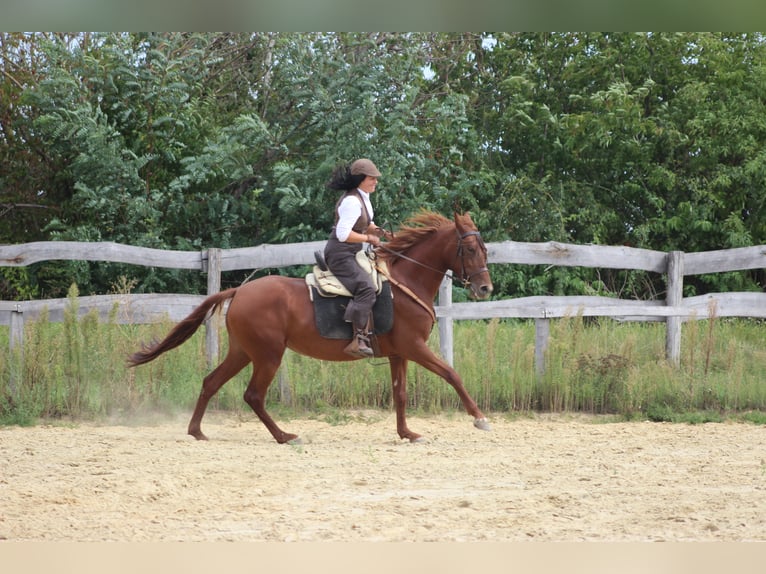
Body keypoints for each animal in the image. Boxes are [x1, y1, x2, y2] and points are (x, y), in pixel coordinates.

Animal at [128, 212, 496, 446]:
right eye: (470, 249)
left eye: (485, 249)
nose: (485, 289)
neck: (407, 281)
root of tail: (240, 291)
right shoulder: (414, 347)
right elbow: (452, 374)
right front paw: (480, 418)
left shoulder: (399, 354)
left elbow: (400, 393)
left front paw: (407, 434)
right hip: (268, 355)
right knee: (253, 395)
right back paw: (285, 436)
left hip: (244, 352)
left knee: (211, 382)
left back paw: (197, 431)